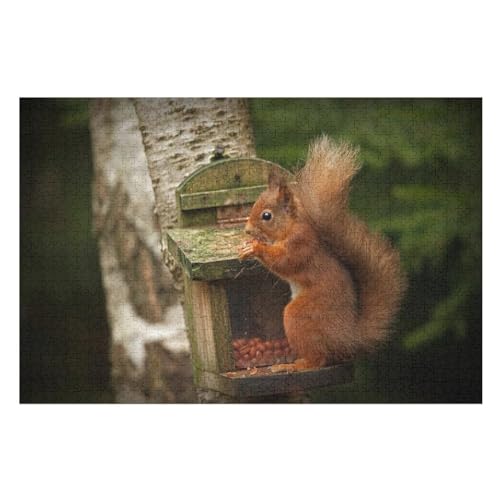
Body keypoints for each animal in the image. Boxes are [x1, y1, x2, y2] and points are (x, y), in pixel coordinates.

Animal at [238, 135, 406, 370]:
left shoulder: (301, 243)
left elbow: (284, 261)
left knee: (318, 359)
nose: (247, 230)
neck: (291, 225)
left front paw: (255, 247)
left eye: (267, 216)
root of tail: (346, 339)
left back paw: (294, 365)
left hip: (301, 316)